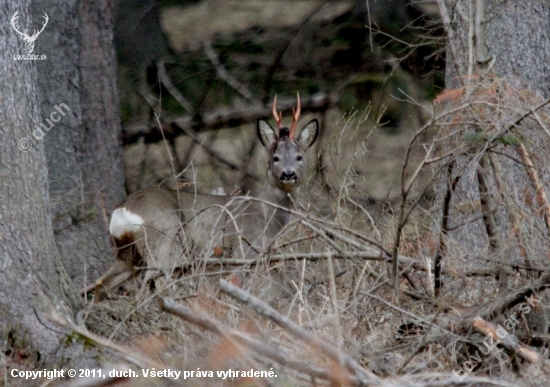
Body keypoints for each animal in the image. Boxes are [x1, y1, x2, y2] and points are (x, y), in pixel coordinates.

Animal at [95, 95, 320, 296]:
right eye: (275, 158)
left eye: (299, 157)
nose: (288, 174)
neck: (266, 215)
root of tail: (123, 209)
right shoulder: (244, 249)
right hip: (164, 241)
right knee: (151, 283)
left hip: (128, 255)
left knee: (99, 286)